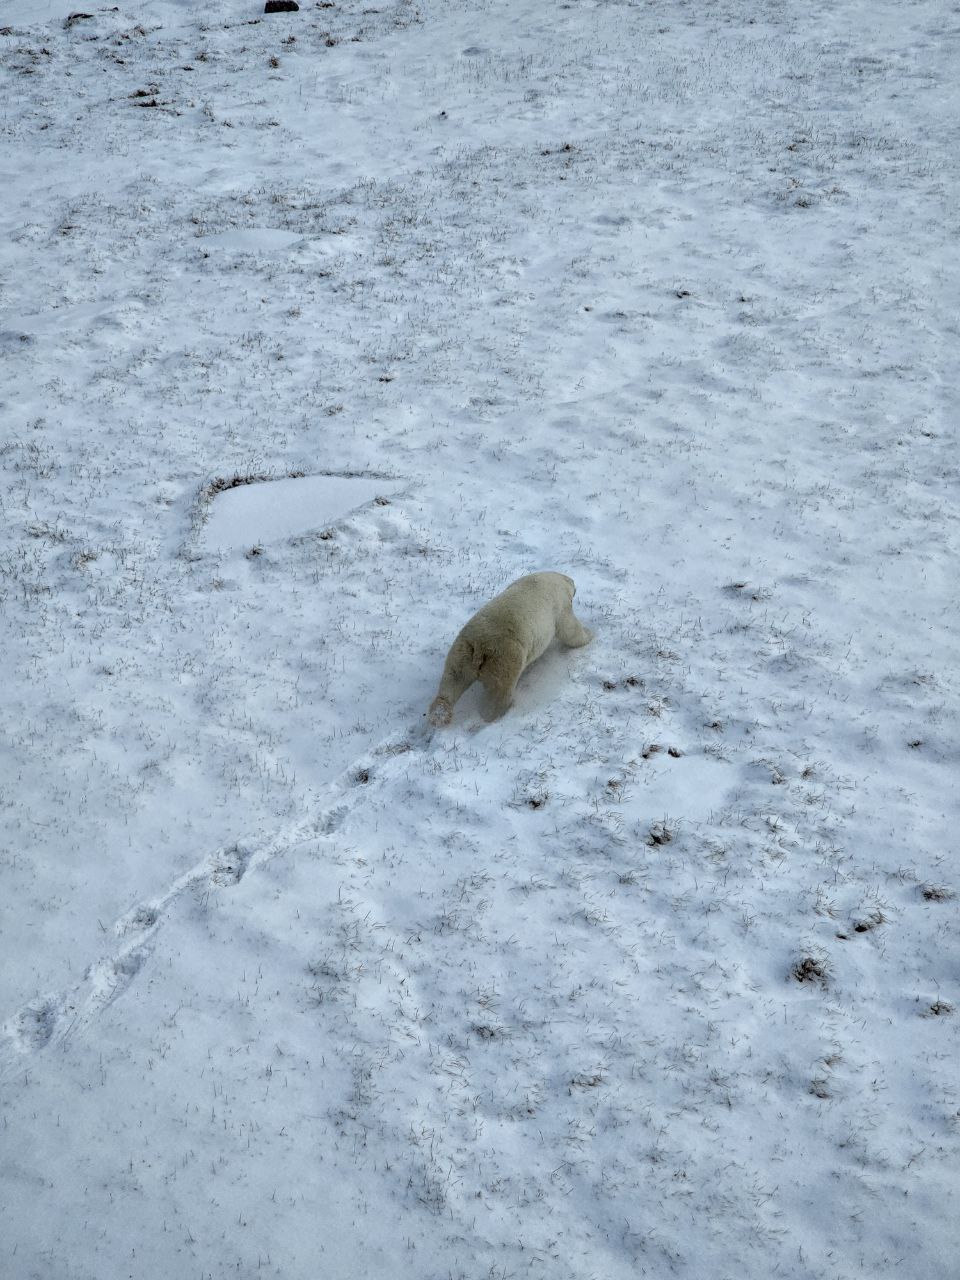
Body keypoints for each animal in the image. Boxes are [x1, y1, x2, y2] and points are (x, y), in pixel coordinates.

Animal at [427, 568, 593, 727]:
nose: (575, 587)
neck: (551, 578)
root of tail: (480, 646)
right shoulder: (559, 605)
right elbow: (569, 629)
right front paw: (590, 634)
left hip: (462, 651)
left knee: (453, 679)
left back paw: (439, 714)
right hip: (504, 657)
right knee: (500, 691)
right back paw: (497, 714)